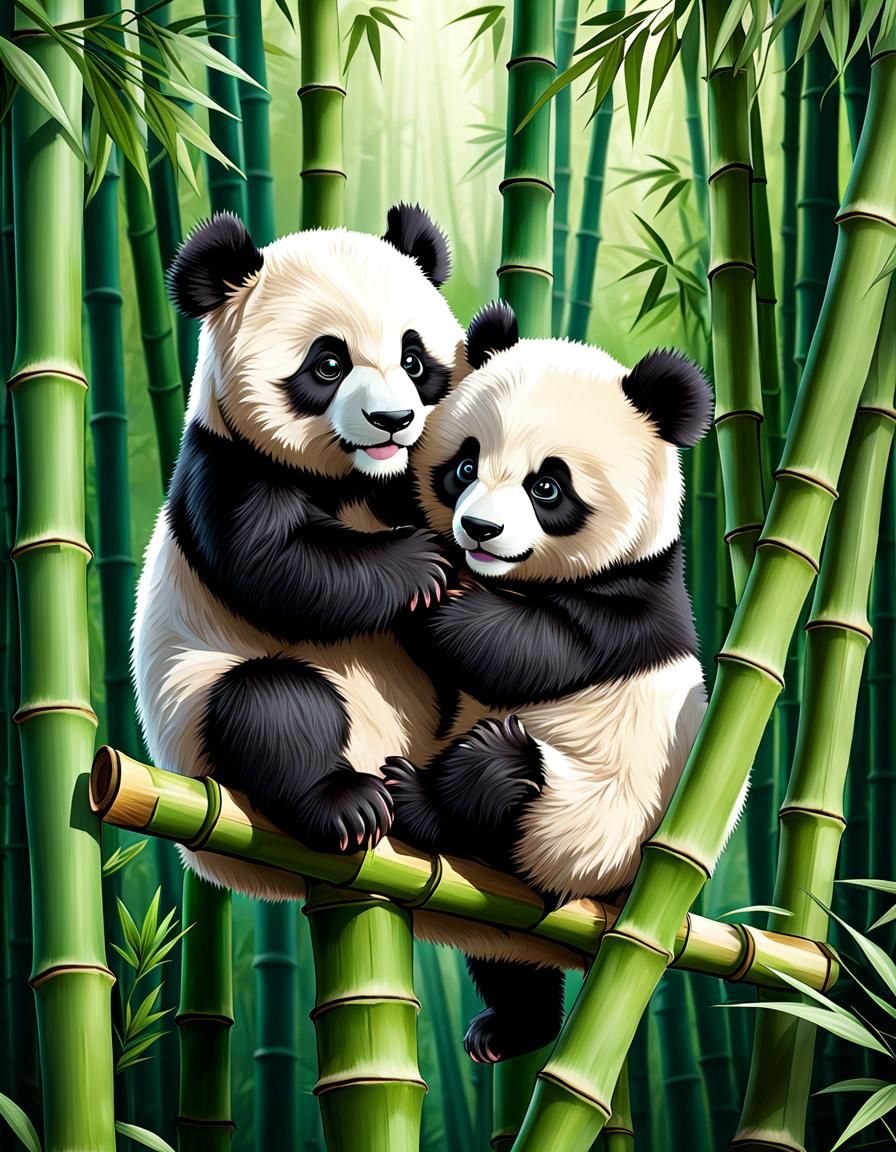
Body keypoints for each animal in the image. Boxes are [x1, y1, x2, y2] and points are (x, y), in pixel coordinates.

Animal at [132, 204, 465, 901]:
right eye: (328, 363)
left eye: (413, 358)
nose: (393, 421)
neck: (356, 480)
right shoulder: (226, 469)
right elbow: (282, 571)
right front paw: (422, 563)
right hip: (198, 709)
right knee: (273, 707)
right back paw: (348, 804)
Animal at [383, 299, 712, 1063]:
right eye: (464, 464)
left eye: (548, 486)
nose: (478, 528)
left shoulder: (632, 603)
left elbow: (523, 651)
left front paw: (435, 590)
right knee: (505, 960)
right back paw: (510, 1027)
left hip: (580, 826)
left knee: (502, 771)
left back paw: (418, 798)